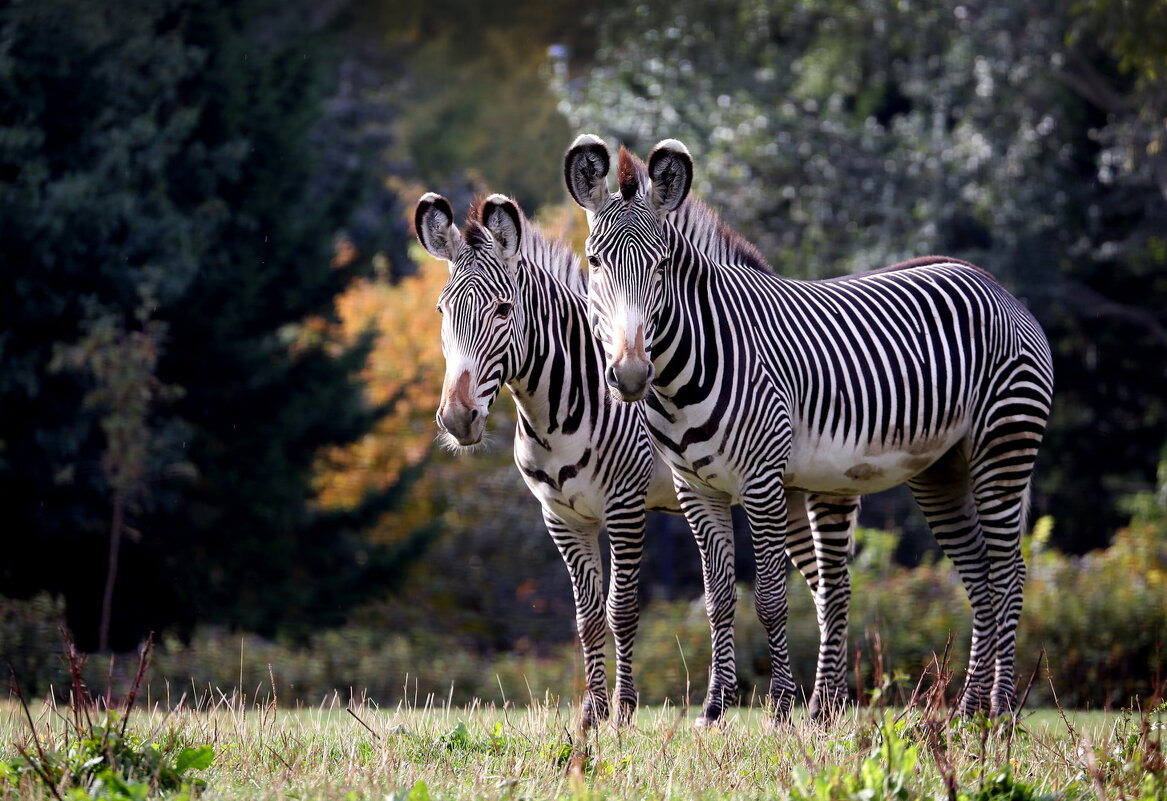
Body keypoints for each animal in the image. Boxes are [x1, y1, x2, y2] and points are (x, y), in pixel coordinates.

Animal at [415, 192, 854, 728]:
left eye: (502, 310)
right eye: (442, 310)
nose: (458, 418)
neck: (563, 401)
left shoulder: (625, 505)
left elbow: (620, 608)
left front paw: (622, 712)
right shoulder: (561, 515)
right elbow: (586, 618)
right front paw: (591, 713)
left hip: (819, 486)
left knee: (833, 586)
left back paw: (822, 708)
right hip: (786, 495)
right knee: (825, 587)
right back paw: (827, 706)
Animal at [564, 133, 1059, 728]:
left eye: (661, 267)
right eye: (594, 262)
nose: (630, 375)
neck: (692, 364)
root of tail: (993, 284)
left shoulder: (762, 482)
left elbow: (771, 597)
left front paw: (780, 708)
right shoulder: (697, 489)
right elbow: (718, 599)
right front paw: (713, 710)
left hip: (1003, 446)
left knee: (1009, 573)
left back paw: (1002, 711)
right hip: (942, 471)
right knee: (981, 576)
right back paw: (970, 712)